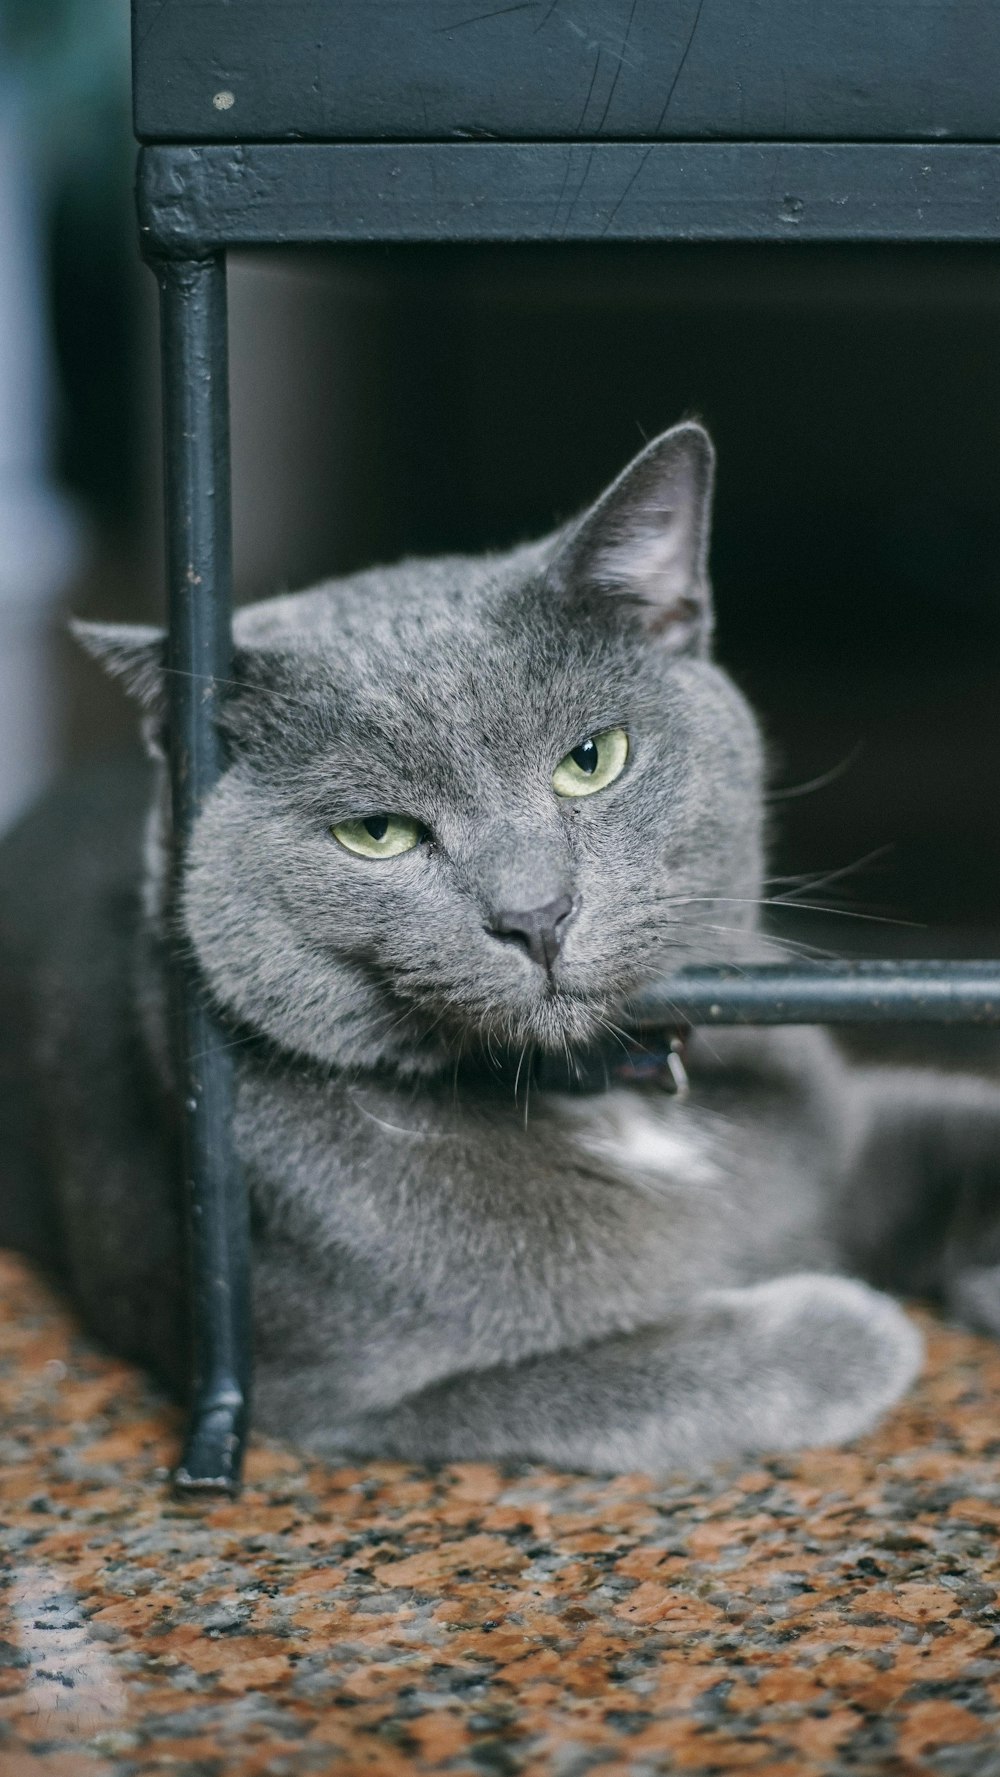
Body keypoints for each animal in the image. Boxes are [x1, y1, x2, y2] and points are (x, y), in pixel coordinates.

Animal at [1, 419, 1000, 1471]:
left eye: (592, 760)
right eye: (377, 832)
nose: (537, 913)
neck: (604, 1096)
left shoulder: (842, 1119)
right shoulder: (343, 1401)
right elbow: (639, 1376)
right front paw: (857, 1325)